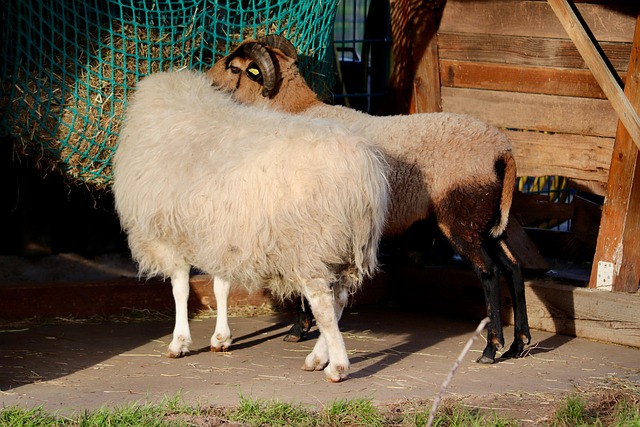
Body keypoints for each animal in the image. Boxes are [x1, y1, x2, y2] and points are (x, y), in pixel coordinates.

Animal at [112, 70, 389, 382]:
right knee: (340, 300)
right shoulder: (222, 234)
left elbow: (180, 289)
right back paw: (317, 357)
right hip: (347, 248)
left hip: (309, 245)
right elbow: (220, 286)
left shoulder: (169, 235)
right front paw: (221, 338)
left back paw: (336, 367)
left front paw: (179, 342)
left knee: (324, 305)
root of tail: (360, 168)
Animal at [206, 35, 531, 364]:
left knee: (489, 273)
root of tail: (503, 151)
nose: (207, 81)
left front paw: (298, 329)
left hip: (461, 216)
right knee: (514, 268)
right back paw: (519, 344)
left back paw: (491, 349)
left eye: (234, 67)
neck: (297, 110)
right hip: (487, 220)